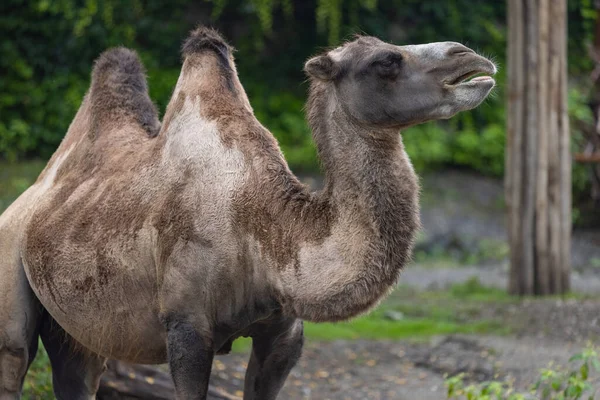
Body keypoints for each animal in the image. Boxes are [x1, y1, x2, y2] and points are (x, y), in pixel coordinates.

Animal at [0, 26, 496, 398]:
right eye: (385, 62)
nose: (473, 58)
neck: (261, 230)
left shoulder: (283, 335)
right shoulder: (186, 327)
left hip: (78, 326)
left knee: (77, 370)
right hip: (10, 275)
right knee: (16, 355)